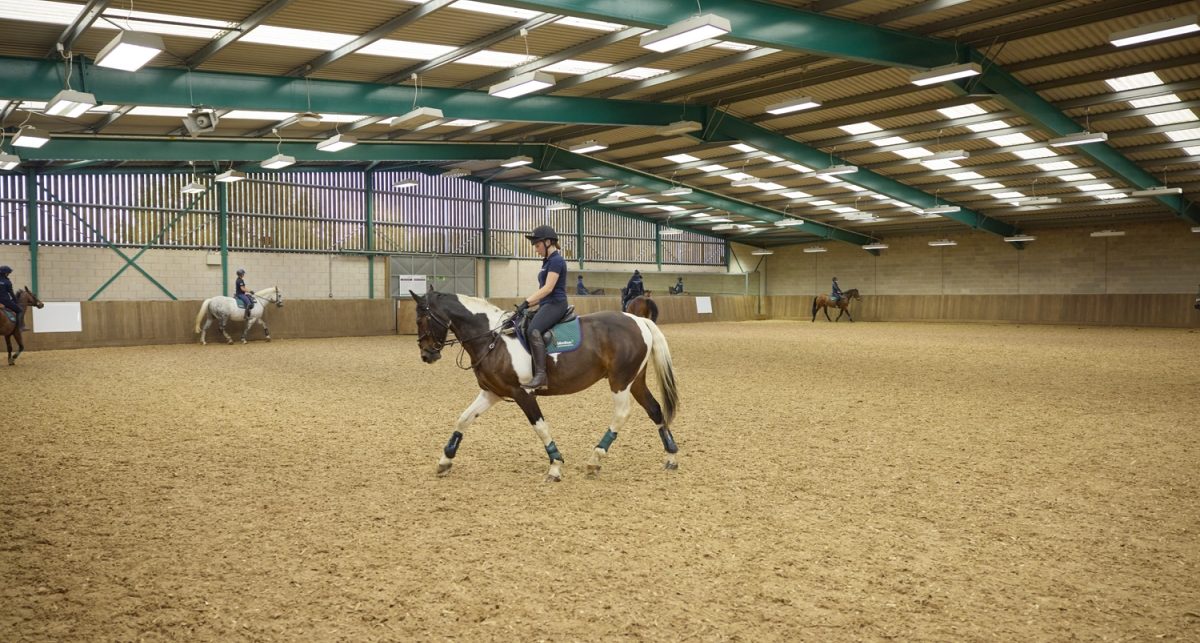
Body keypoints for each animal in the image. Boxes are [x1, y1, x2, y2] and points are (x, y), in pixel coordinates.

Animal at [410, 287, 681, 482]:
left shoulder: (522, 393)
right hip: (635, 380)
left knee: (622, 413)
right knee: (655, 409)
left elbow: (540, 427)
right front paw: (445, 461)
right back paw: (671, 456)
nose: (426, 355)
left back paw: (595, 459)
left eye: (421, 319)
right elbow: (463, 419)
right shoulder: (491, 393)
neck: (492, 338)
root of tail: (638, 320)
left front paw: (555, 466)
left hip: (620, 381)